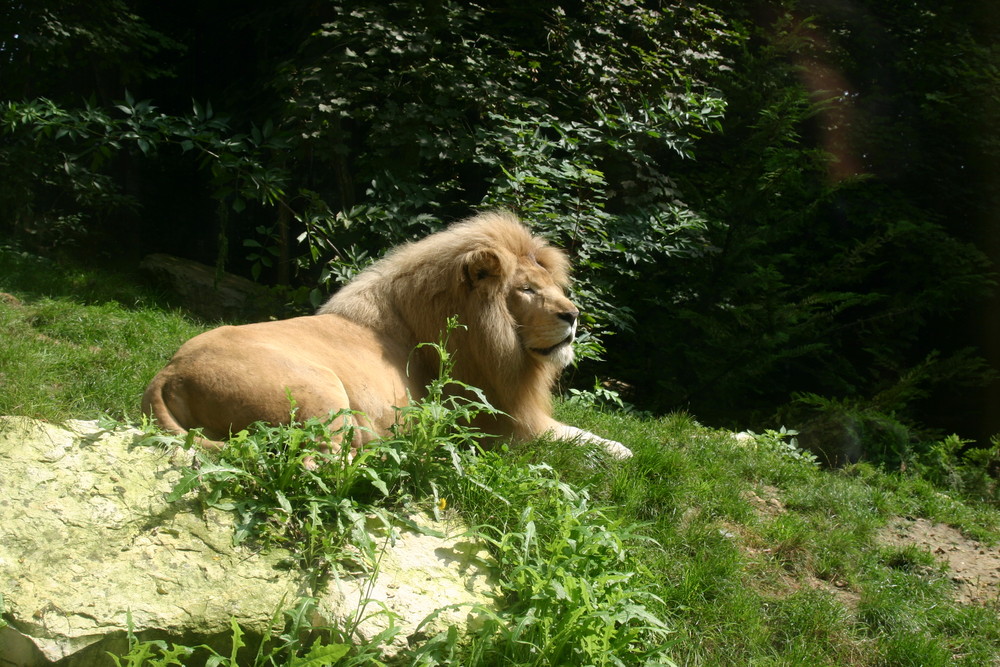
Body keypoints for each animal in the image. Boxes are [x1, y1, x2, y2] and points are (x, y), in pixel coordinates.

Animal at [143, 213, 632, 460]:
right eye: (527, 290)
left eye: (553, 287)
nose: (574, 316)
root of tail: (166, 375)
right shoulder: (497, 423)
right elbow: (571, 436)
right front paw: (620, 453)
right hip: (324, 397)